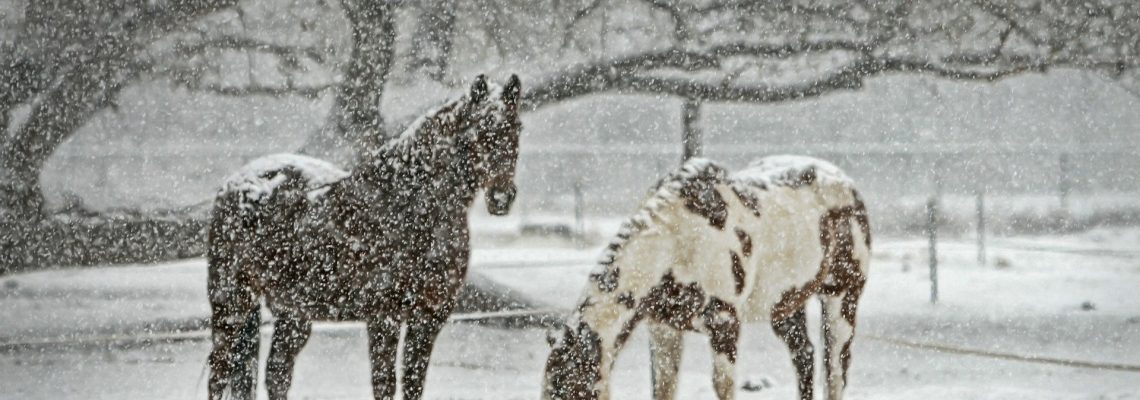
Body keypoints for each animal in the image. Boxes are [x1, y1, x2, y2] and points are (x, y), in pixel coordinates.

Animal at [207, 75, 522, 400]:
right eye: (479, 128)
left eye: (517, 127)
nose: (502, 197)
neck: (410, 205)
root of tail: (237, 182)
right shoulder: (385, 317)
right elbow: (384, 384)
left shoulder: (429, 317)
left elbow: (413, 385)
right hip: (231, 303)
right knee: (219, 374)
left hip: (293, 313)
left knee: (277, 374)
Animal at [542, 156, 870, 400]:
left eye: (577, 391)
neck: (678, 241)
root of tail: (848, 184)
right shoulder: (663, 328)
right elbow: (663, 388)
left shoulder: (724, 325)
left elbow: (723, 387)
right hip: (785, 306)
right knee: (805, 356)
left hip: (842, 298)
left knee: (835, 372)